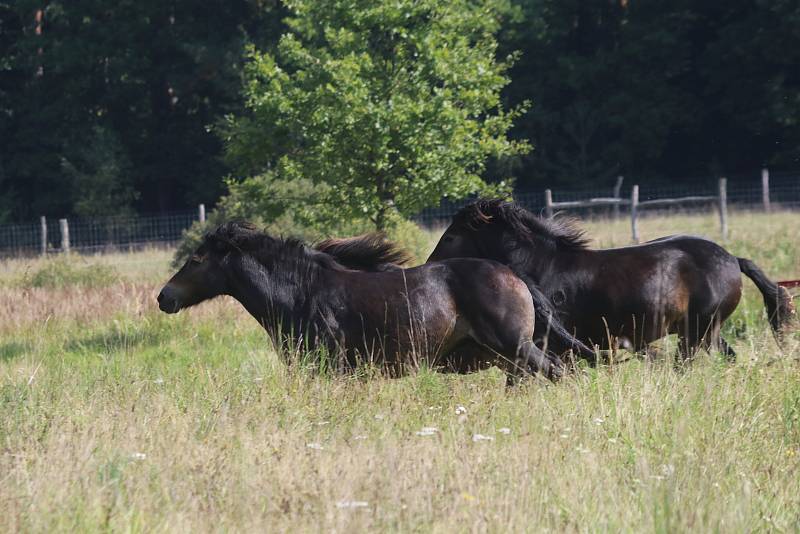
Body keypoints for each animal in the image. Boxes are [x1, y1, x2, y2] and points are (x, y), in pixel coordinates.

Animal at [158, 222, 564, 382]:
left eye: (197, 260)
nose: (164, 297)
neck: (301, 294)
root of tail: (514, 276)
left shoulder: (331, 366)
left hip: (516, 345)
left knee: (556, 370)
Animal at [428, 199, 792, 362]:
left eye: (450, 237)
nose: (429, 265)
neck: (543, 267)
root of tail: (733, 259)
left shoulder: (558, 342)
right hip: (705, 331)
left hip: (696, 332)